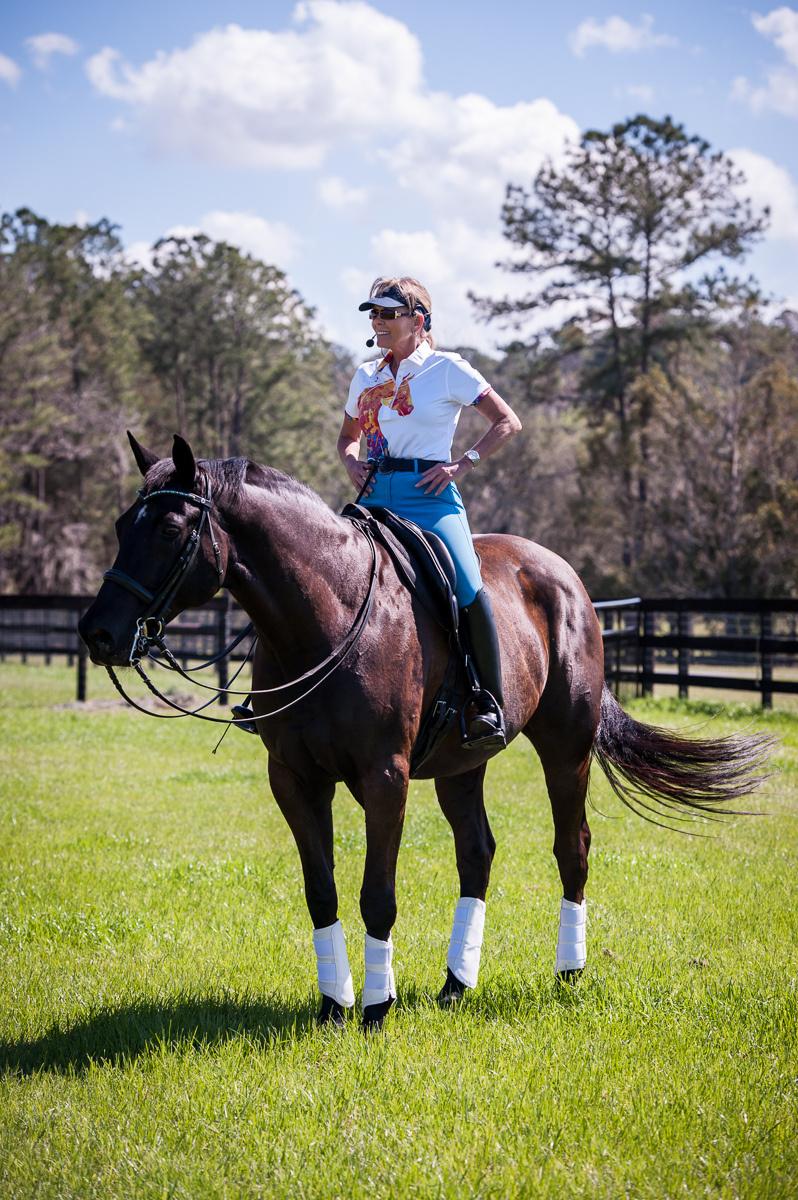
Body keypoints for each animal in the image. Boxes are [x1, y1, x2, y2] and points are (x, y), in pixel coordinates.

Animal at [78, 434, 771, 1030]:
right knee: (477, 853)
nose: (98, 632)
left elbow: (377, 895)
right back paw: (456, 984)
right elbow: (322, 891)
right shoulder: (294, 779)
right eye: (119, 526)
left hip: (565, 749)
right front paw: (334, 1007)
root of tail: (564, 575)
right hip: (463, 764)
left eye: (170, 528)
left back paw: (568, 974)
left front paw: (375, 1010)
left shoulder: (386, 777)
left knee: (572, 847)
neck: (325, 620)